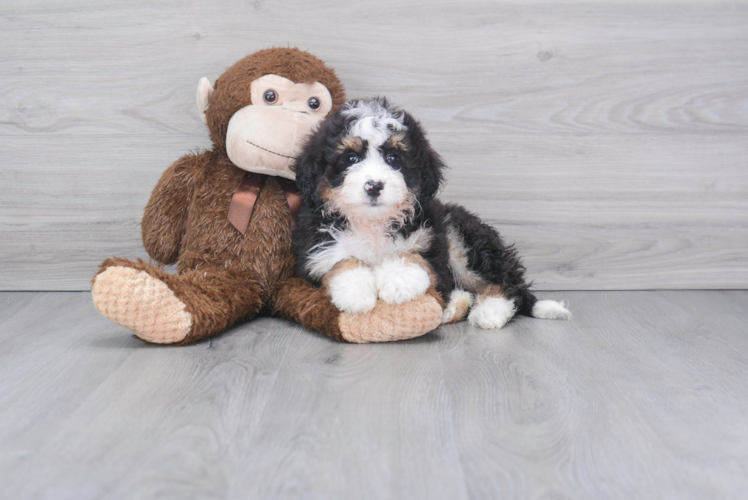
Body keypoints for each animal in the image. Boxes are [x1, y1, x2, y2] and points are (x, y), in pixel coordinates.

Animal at [292, 99, 572, 330]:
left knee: (502, 281)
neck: (373, 222)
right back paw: (455, 307)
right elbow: (339, 260)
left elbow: (414, 256)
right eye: (350, 158)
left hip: (462, 238)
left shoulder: (432, 238)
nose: (374, 185)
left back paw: (490, 311)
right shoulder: (313, 249)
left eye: (393, 158)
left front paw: (399, 280)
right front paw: (356, 290)